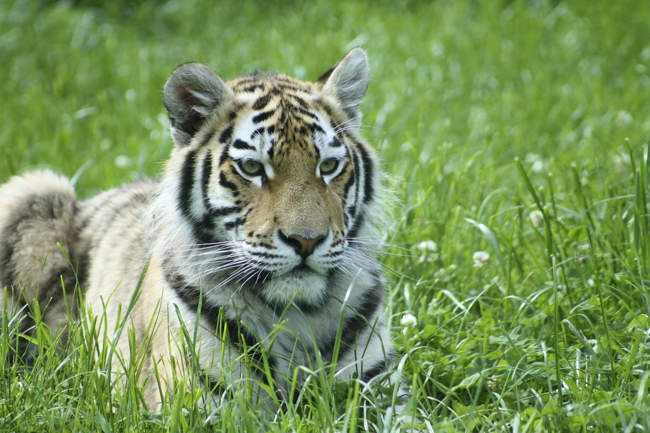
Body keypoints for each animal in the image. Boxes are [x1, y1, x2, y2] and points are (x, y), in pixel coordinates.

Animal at [0, 48, 399, 412]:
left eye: (328, 166)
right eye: (252, 168)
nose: (306, 240)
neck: (297, 315)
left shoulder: (378, 392)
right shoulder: (200, 404)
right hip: (35, 191)